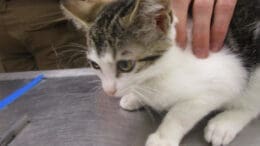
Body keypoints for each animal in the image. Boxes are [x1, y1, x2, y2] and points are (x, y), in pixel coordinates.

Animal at [60, 0, 258, 145]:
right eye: (95, 65)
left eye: (125, 65)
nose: (109, 91)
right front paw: (135, 97)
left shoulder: (224, 78)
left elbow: (180, 113)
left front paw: (163, 138)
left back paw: (224, 124)